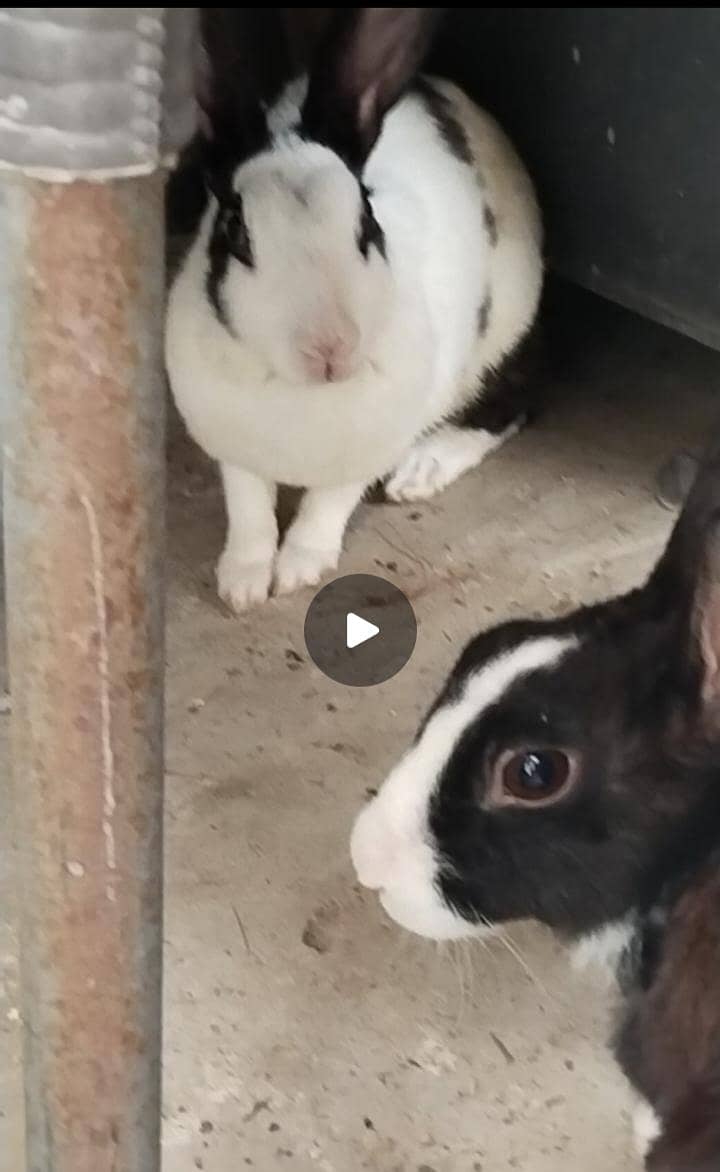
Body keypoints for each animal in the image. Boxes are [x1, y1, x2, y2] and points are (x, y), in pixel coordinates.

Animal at [165, 8, 543, 611]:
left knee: (515, 402)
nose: (330, 348)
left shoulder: (367, 451)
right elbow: (248, 508)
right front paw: (243, 583)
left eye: (366, 223)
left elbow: (328, 504)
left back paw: (424, 466)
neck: (300, 393)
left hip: (507, 328)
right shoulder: (233, 451)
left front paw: (298, 567)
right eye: (236, 233)